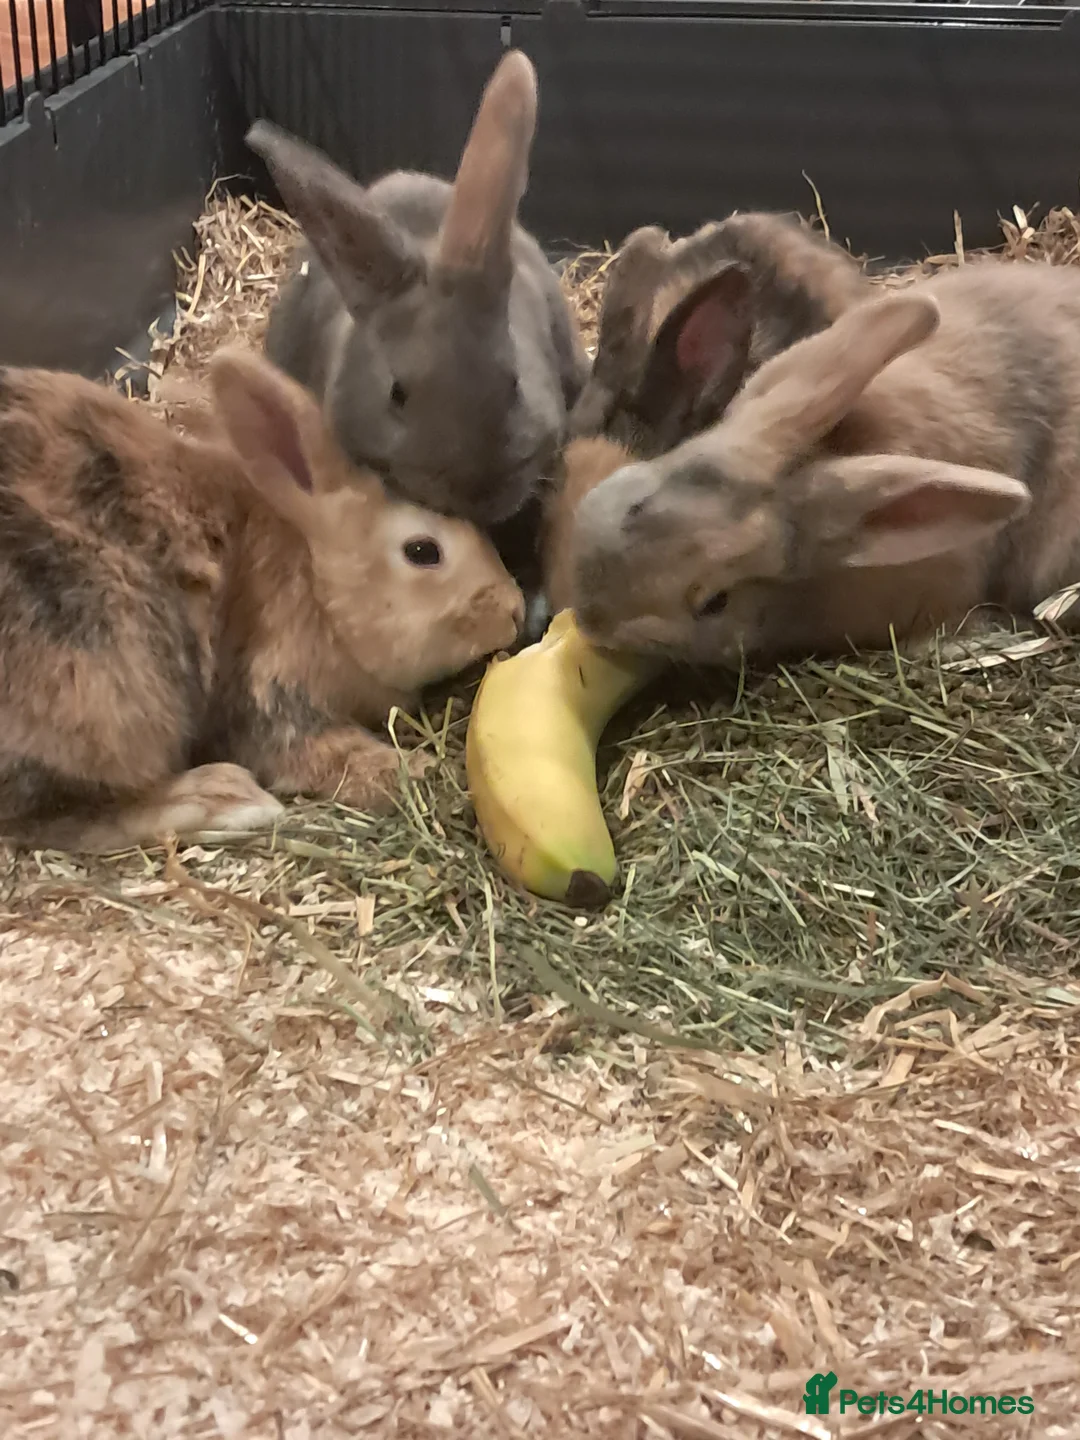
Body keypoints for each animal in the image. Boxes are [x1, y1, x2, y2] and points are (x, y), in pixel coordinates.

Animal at [0, 349, 525, 854]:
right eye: (422, 551)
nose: (515, 610)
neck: (314, 581)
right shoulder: (270, 689)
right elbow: (318, 752)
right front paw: (413, 769)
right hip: (107, 695)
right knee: (62, 816)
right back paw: (223, 796)